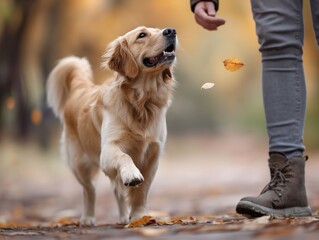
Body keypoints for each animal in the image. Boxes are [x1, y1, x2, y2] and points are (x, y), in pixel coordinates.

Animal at [46, 27, 178, 226]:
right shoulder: (108, 150)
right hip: (78, 164)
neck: (142, 101)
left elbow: (141, 192)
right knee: (89, 190)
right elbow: (124, 156)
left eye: (158, 29)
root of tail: (80, 89)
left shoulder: (153, 157)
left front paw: (139, 216)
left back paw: (124, 217)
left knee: (117, 190)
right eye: (142, 35)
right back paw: (88, 218)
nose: (171, 31)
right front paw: (132, 174)